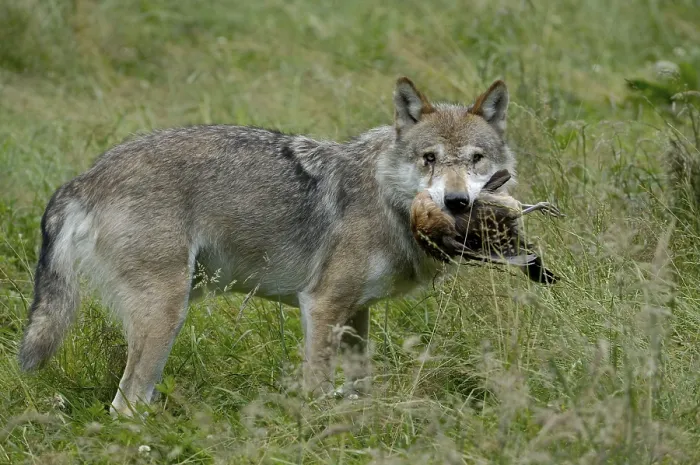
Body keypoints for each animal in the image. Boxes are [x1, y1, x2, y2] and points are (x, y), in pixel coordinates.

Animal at [18, 77, 522, 415]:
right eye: (429, 159)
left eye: (476, 160)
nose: (456, 202)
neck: (386, 198)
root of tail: (84, 178)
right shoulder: (321, 305)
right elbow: (317, 388)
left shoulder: (356, 312)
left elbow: (359, 386)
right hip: (166, 314)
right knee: (124, 405)